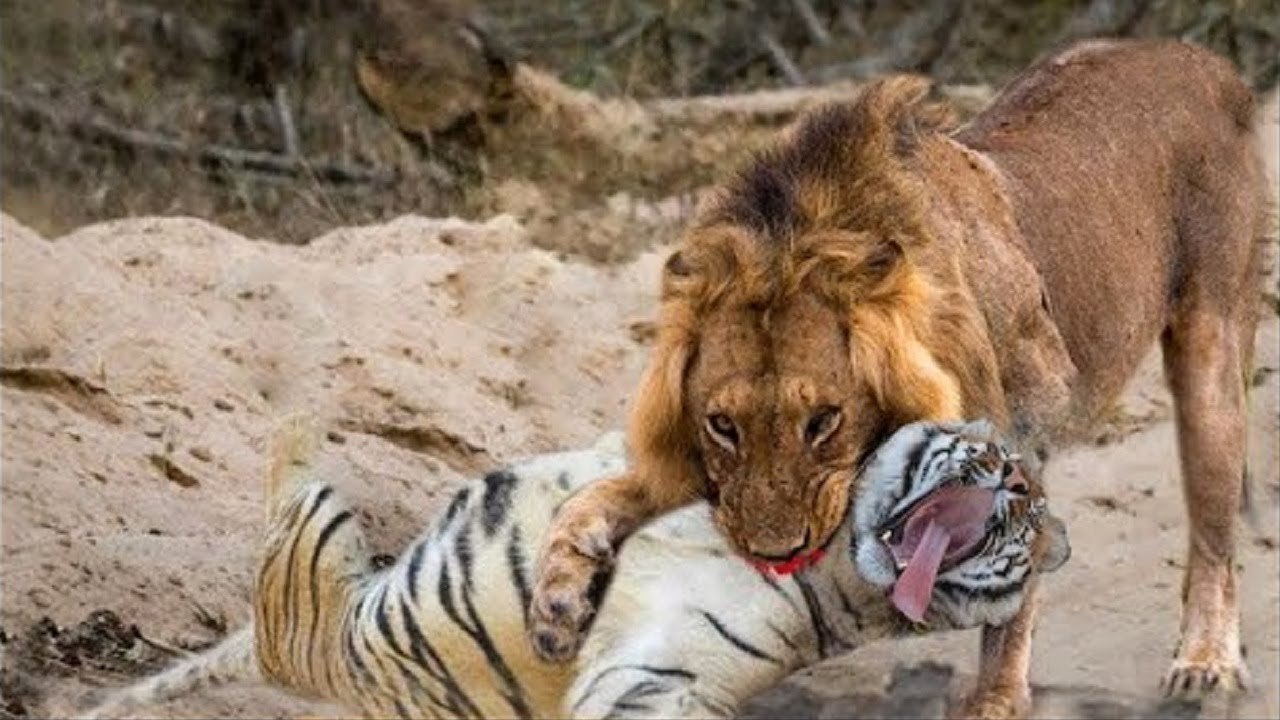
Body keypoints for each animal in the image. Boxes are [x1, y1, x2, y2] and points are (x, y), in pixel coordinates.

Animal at [79, 417, 1069, 720]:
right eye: (1007, 470)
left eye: (1020, 527)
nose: (1021, 488)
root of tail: (281, 650)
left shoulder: (658, 674)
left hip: (319, 538)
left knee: (288, 468)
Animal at [528, 39, 1271, 718]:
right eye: (722, 426)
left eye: (823, 421)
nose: (773, 552)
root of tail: (1202, 57)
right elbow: (591, 499)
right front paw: (556, 605)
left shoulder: (1022, 426)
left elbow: (1013, 591)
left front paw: (995, 700)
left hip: (1212, 352)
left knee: (1214, 534)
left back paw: (1205, 662)